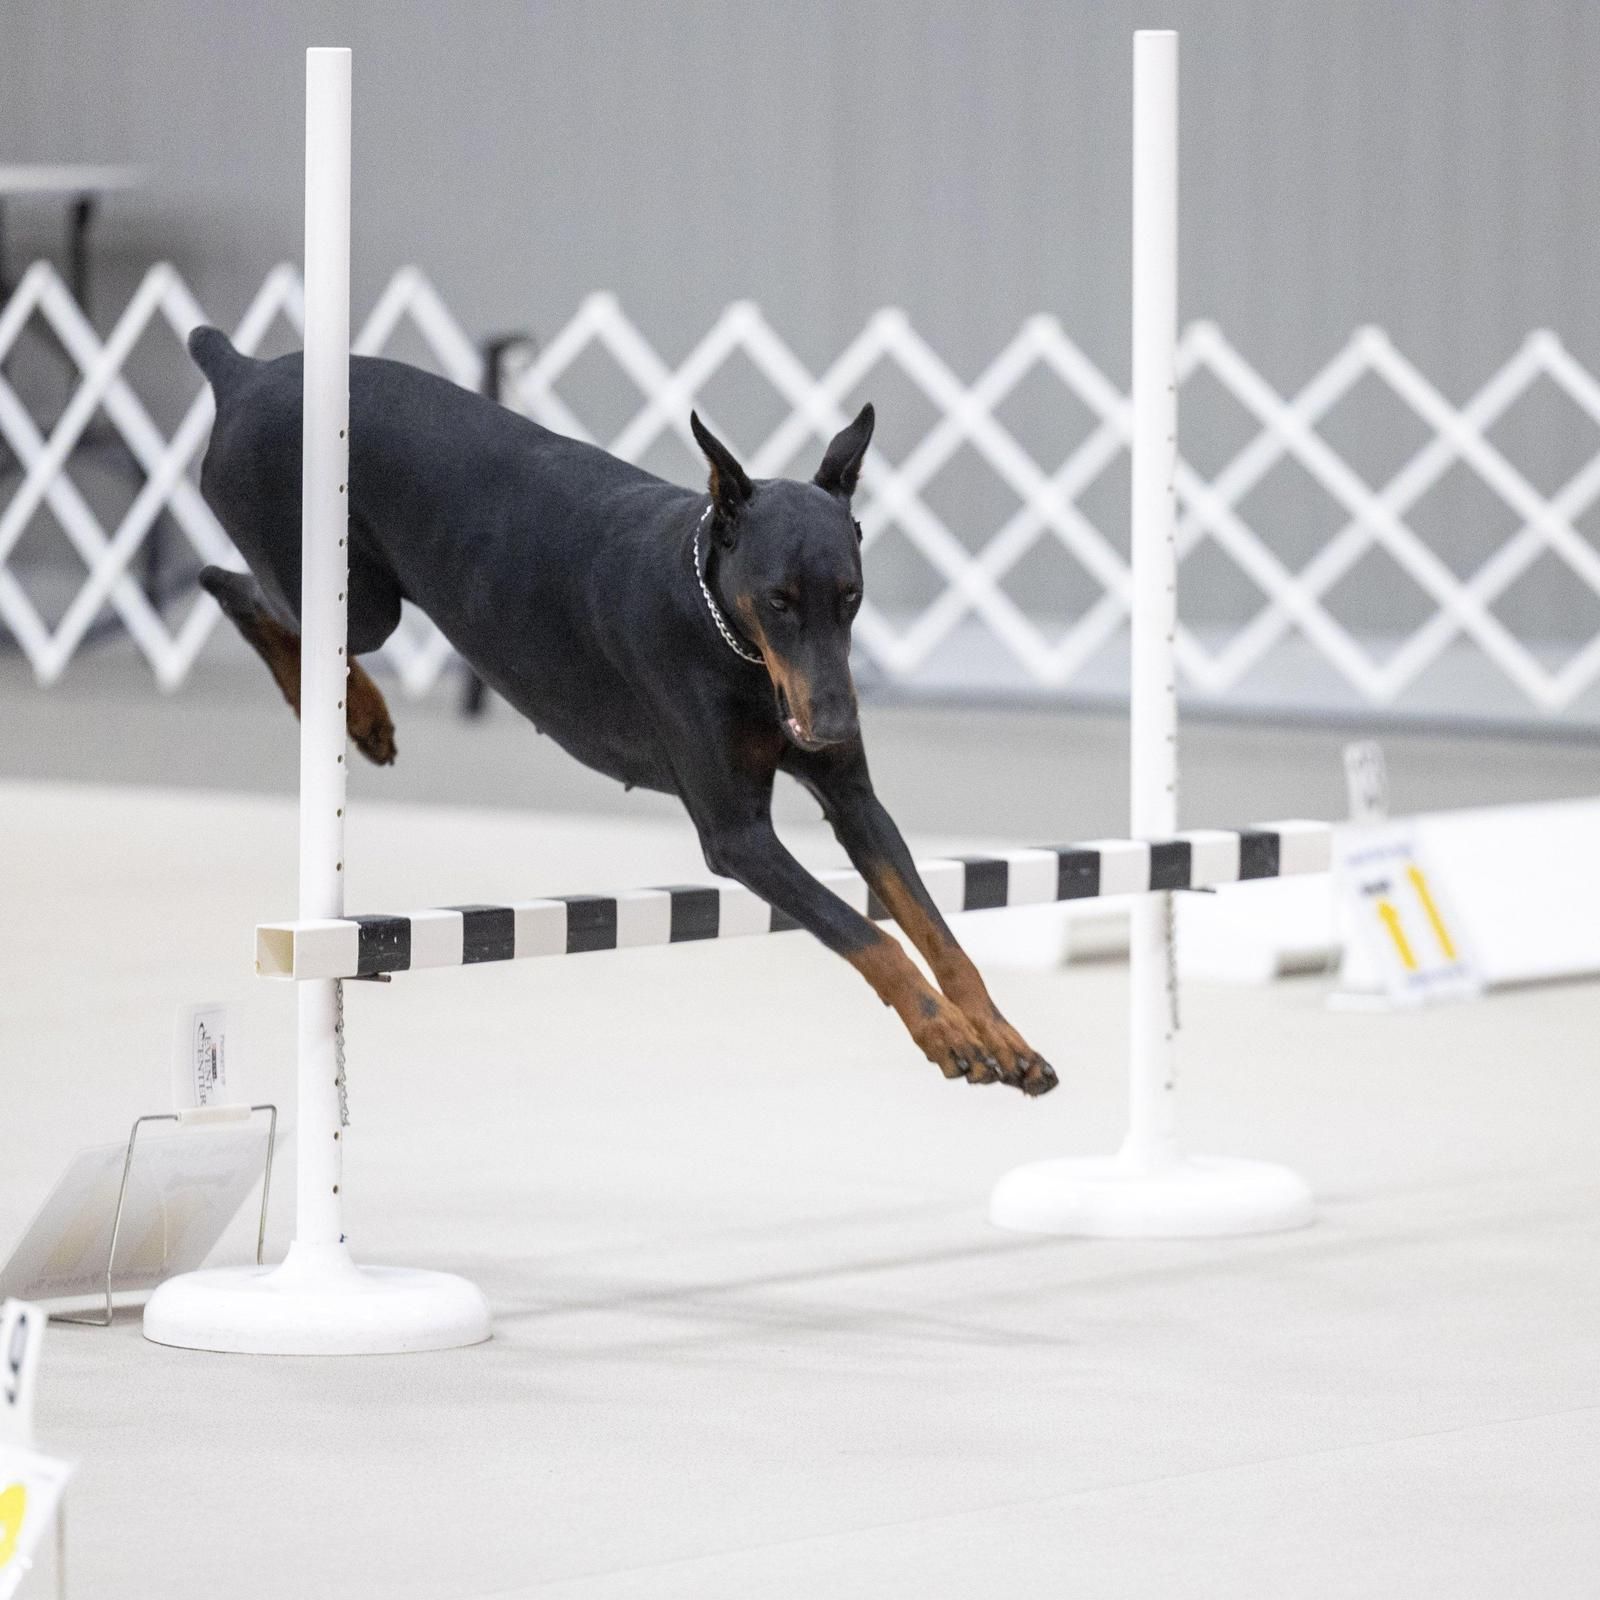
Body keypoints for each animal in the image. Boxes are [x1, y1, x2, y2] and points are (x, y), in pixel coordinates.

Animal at [190, 329, 1062, 1094]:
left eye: (850, 596)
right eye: (779, 601)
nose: (836, 728)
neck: (728, 636)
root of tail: (242, 370)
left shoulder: (854, 799)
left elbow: (935, 928)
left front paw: (998, 1034)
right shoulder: (738, 838)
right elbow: (867, 931)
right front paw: (943, 1031)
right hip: (352, 593)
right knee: (232, 586)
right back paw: (353, 710)